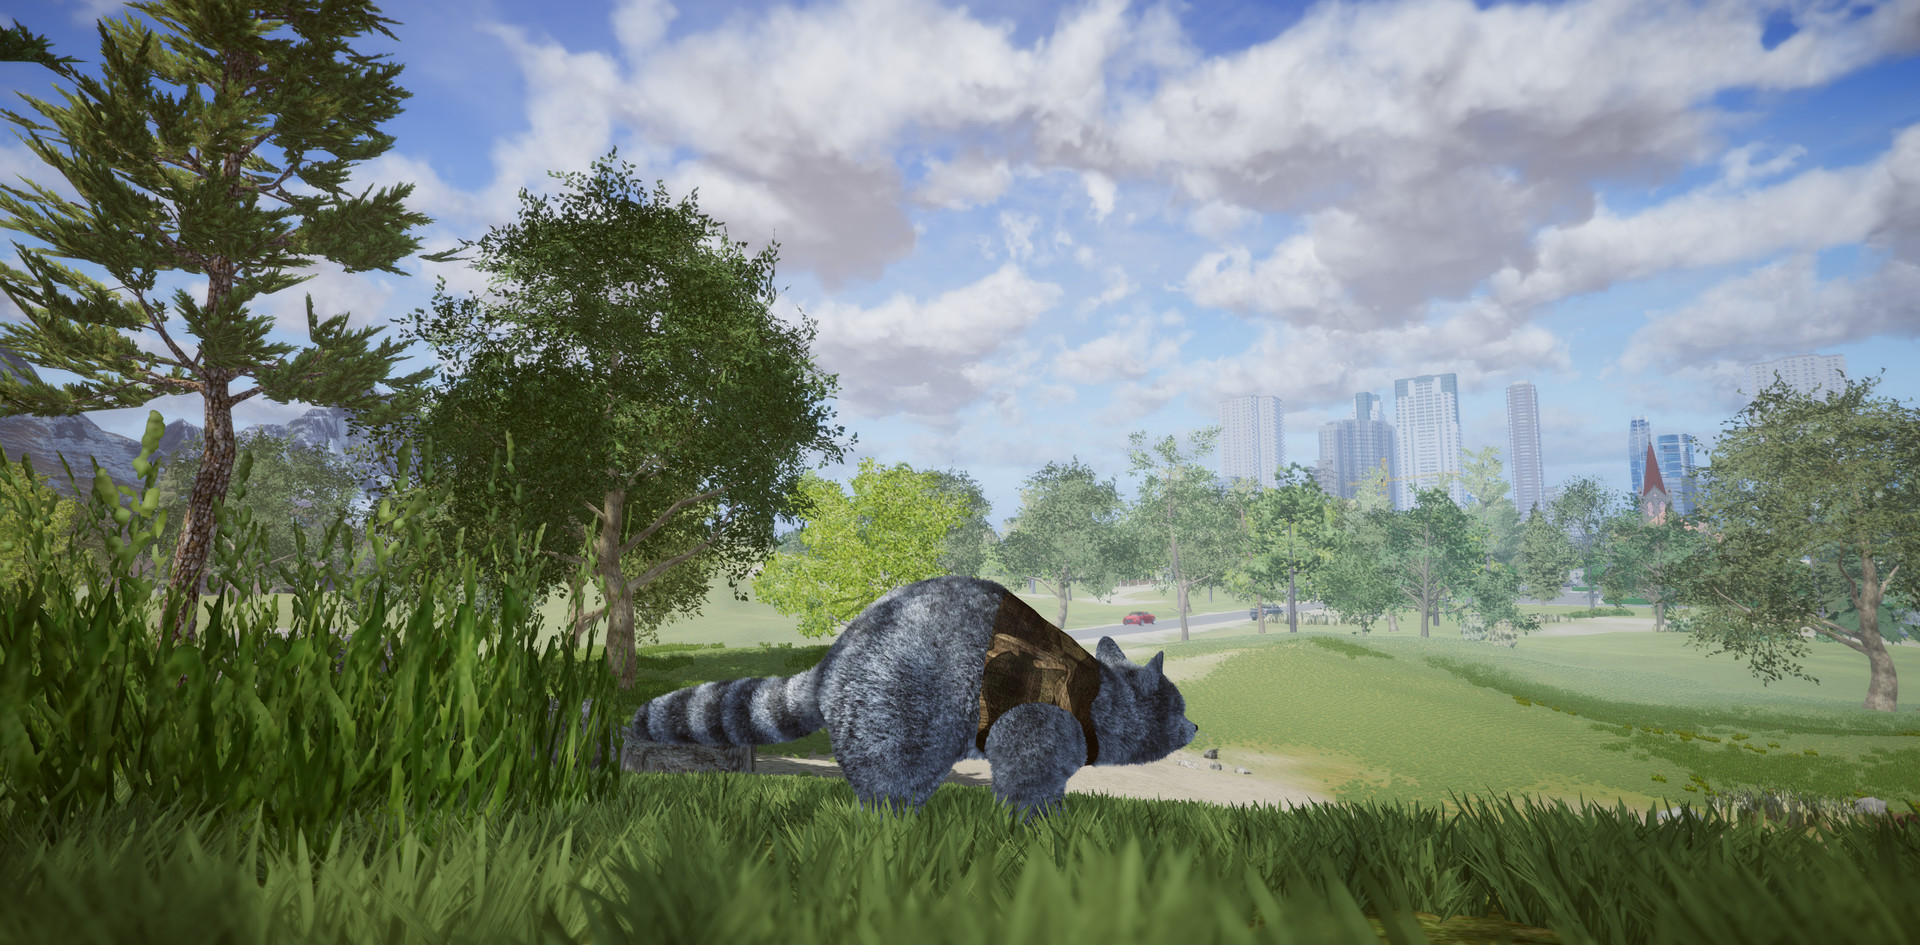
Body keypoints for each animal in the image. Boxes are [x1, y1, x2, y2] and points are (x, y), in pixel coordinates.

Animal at [629, 575, 1200, 821]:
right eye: (1178, 708)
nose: (1196, 728)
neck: (1102, 695)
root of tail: (840, 655)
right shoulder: (1041, 720)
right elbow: (1024, 775)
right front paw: (1038, 828)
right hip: (893, 703)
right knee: (895, 776)